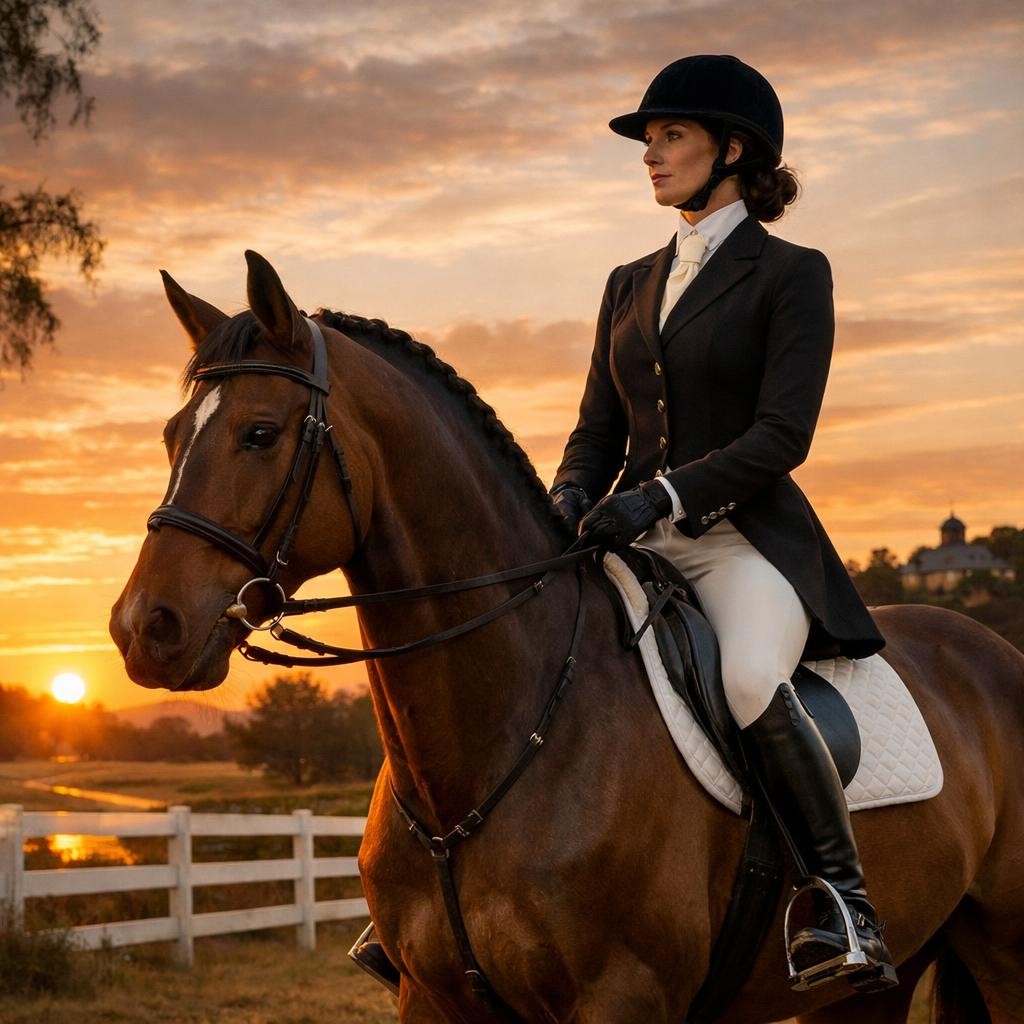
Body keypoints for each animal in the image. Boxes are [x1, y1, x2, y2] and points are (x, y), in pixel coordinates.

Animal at [110, 251, 1024, 1023]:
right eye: (169, 436)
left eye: (261, 433)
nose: (142, 629)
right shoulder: (433, 998)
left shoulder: (621, 998)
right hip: (881, 980)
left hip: (1002, 948)